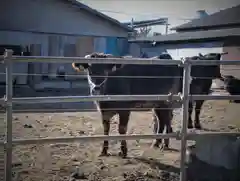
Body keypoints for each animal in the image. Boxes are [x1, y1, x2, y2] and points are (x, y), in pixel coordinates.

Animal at [72, 52, 226, 157]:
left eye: (106, 70)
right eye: (90, 69)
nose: (96, 88)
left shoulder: (125, 109)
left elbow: (122, 129)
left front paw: (124, 151)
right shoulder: (103, 111)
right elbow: (105, 130)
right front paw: (104, 151)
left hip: (167, 102)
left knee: (166, 120)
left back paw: (164, 144)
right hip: (157, 104)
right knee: (161, 121)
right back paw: (157, 143)